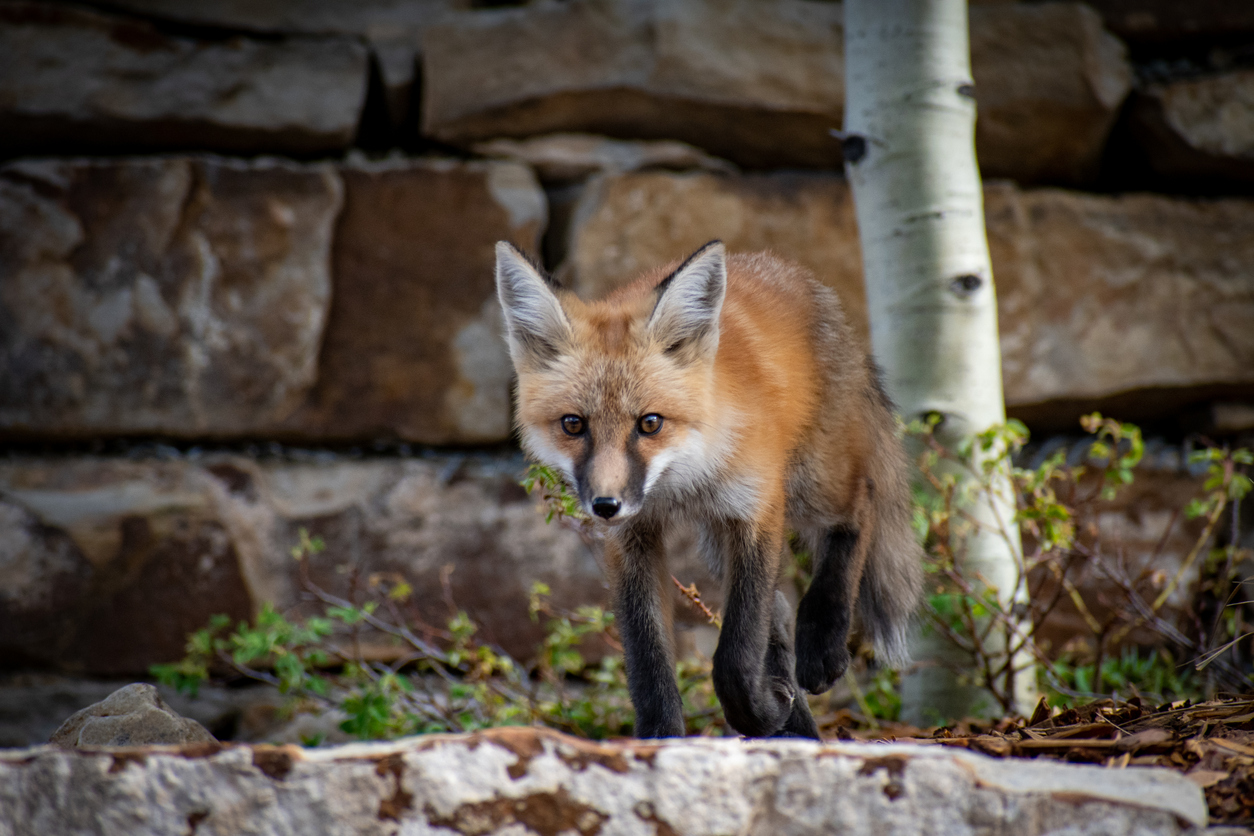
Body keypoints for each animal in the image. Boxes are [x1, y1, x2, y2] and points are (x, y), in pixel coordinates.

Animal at [495, 239, 923, 739]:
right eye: (573, 425)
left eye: (650, 423)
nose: (605, 505)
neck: (682, 486)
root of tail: (799, 277)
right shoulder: (632, 539)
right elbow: (647, 660)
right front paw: (661, 738)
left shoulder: (756, 509)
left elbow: (737, 652)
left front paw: (758, 712)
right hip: (720, 543)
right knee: (779, 610)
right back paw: (797, 721)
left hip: (813, 481)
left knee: (860, 505)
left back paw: (821, 640)